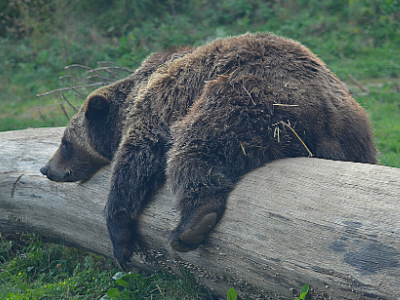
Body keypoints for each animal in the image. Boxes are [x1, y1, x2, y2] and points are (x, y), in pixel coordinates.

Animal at [39, 32, 376, 268]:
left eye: (65, 142)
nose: (46, 169)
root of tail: (323, 108)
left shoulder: (154, 110)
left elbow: (135, 163)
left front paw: (120, 241)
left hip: (246, 95)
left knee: (197, 145)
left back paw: (191, 225)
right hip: (357, 133)